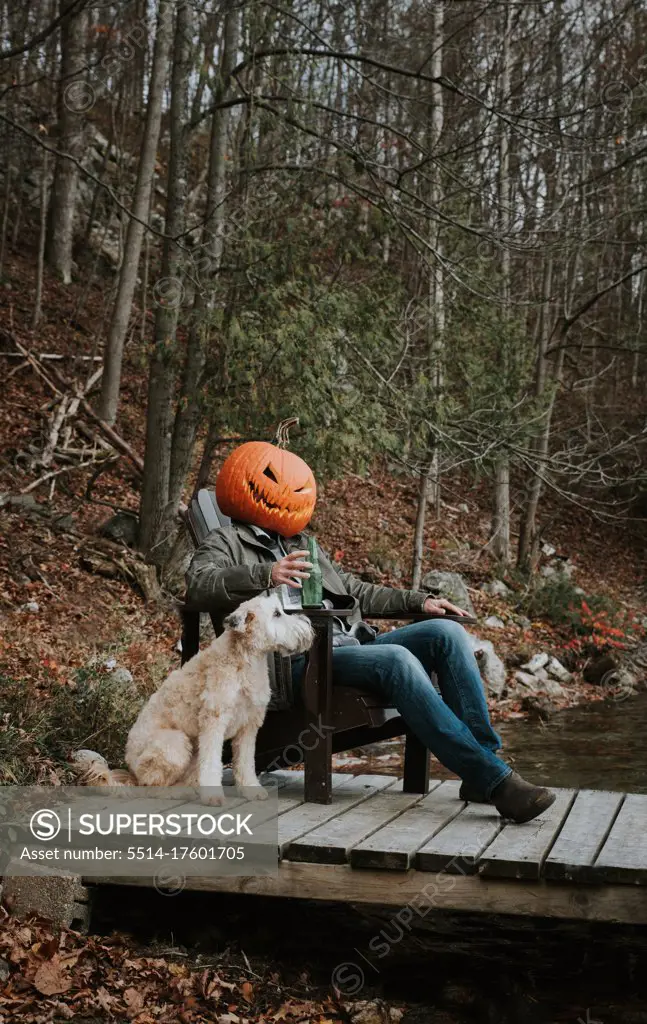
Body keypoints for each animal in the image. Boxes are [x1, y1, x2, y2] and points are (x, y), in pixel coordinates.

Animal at [72, 598, 313, 802]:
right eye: (277, 614)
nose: (308, 626)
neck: (244, 660)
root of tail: (131, 771)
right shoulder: (213, 723)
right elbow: (212, 762)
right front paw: (213, 797)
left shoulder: (248, 727)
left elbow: (245, 762)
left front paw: (251, 790)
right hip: (175, 743)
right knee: (152, 786)